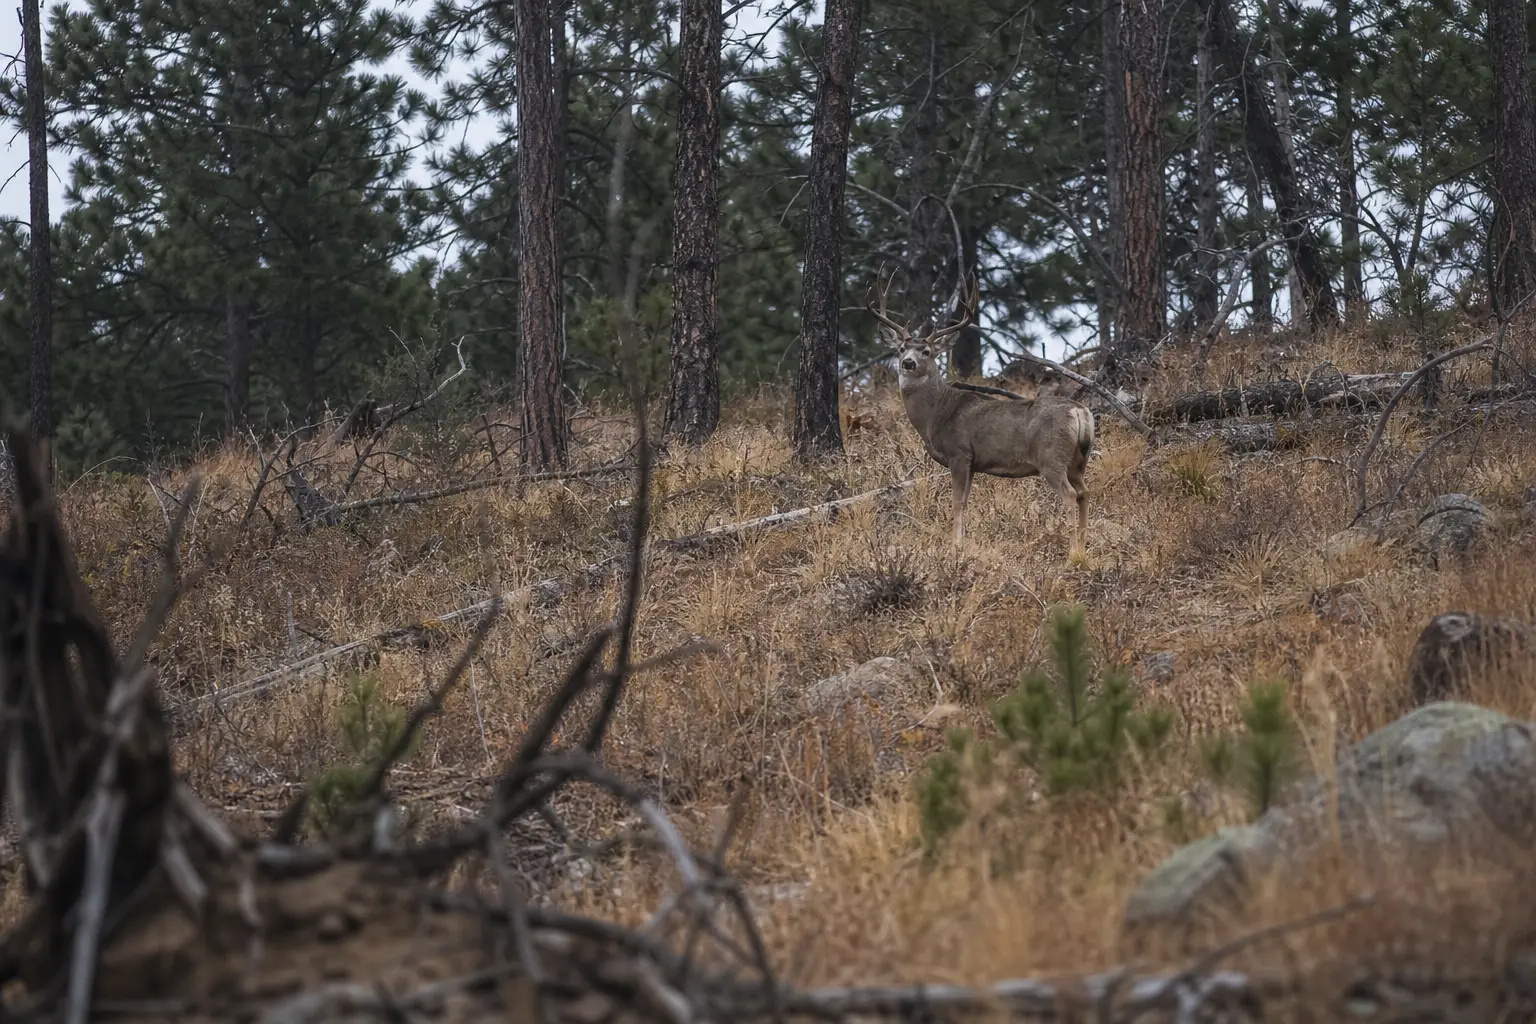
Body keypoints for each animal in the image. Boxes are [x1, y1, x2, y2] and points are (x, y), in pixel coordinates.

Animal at [867, 274, 1096, 561]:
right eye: (900, 349)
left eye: (926, 352)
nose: (908, 363)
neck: (935, 414)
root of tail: (1080, 411)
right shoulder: (974, 462)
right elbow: (966, 500)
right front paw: (962, 542)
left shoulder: (959, 453)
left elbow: (956, 501)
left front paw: (955, 546)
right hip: (1079, 459)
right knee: (1085, 492)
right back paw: (1084, 549)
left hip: (1051, 456)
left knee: (1069, 494)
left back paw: (1072, 554)